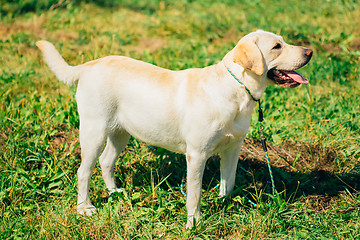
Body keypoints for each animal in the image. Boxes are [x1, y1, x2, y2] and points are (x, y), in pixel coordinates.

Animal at [37, 30, 312, 229]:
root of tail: (89, 65)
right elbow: (194, 194)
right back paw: (84, 207)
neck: (235, 90)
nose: (310, 51)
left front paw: (224, 204)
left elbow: (229, 182)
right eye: (276, 47)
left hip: (121, 132)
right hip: (94, 131)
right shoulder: (197, 155)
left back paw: (114, 192)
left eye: (284, 41)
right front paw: (194, 224)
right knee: (83, 170)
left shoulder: (233, 149)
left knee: (106, 161)